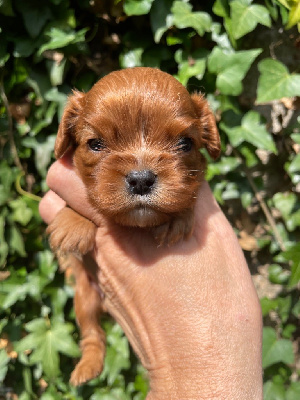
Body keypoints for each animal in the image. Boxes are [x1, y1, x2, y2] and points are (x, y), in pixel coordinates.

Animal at [47, 67, 220, 386]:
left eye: (185, 144)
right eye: (95, 144)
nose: (141, 179)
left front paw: (177, 218)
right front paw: (72, 223)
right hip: (84, 298)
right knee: (92, 333)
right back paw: (87, 367)